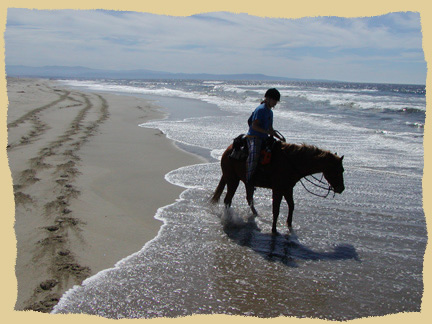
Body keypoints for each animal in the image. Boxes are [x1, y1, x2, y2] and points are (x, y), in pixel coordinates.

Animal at [209, 140, 344, 233]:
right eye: (339, 170)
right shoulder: (278, 189)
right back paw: (229, 219)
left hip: (246, 182)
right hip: (233, 179)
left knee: (248, 198)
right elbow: (276, 209)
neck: (292, 162)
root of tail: (227, 151)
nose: (341, 189)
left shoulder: (288, 188)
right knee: (228, 200)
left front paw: (289, 225)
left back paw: (255, 214)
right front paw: (274, 230)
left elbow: (291, 206)